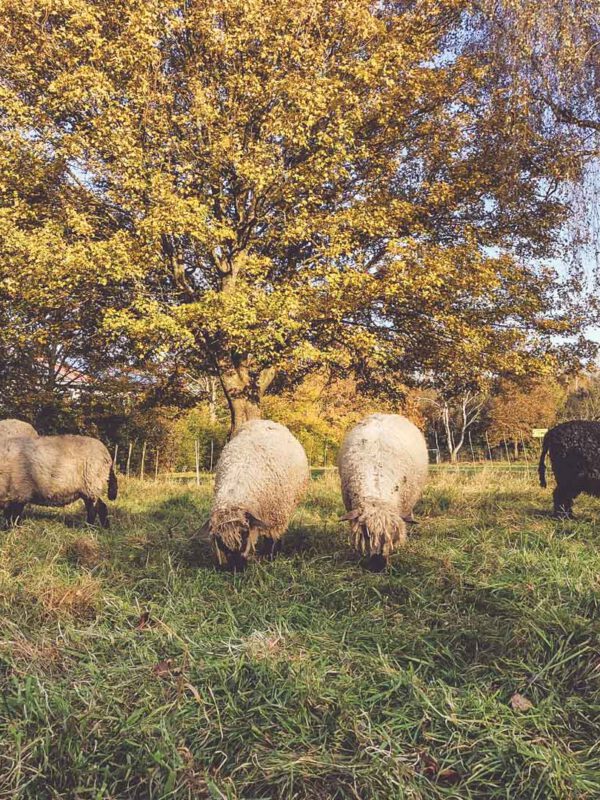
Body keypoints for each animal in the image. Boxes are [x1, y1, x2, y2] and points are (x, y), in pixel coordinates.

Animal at [205, 419, 309, 571]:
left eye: (244, 535)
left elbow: (272, 538)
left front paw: (270, 557)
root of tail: (265, 421)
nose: (236, 569)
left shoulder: (275, 515)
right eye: (221, 543)